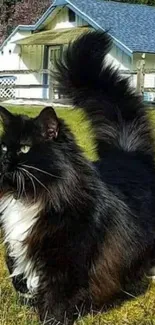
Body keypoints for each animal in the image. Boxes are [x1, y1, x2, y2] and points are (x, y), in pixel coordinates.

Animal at [0, 31, 155, 324]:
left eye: (24, 148)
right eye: (3, 147)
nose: (3, 160)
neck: (31, 197)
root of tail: (127, 152)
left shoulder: (66, 262)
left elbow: (55, 301)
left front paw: (50, 319)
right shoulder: (17, 250)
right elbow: (22, 282)